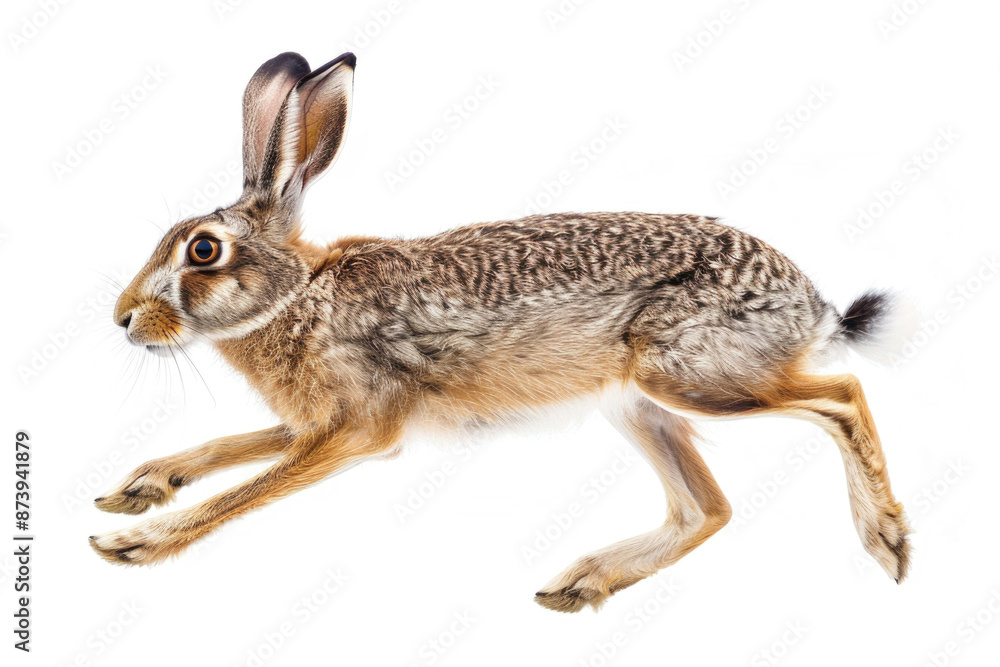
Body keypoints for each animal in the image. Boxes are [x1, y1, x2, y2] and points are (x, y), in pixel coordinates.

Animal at [92, 51, 910, 613]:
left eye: (203, 250)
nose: (124, 318)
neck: (298, 295)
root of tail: (811, 304)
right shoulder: (315, 425)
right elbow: (231, 447)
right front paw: (140, 485)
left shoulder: (358, 430)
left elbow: (249, 489)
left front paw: (133, 542)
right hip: (636, 404)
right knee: (706, 508)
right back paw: (583, 583)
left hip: (689, 374)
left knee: (842, 394)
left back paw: (888, 540)